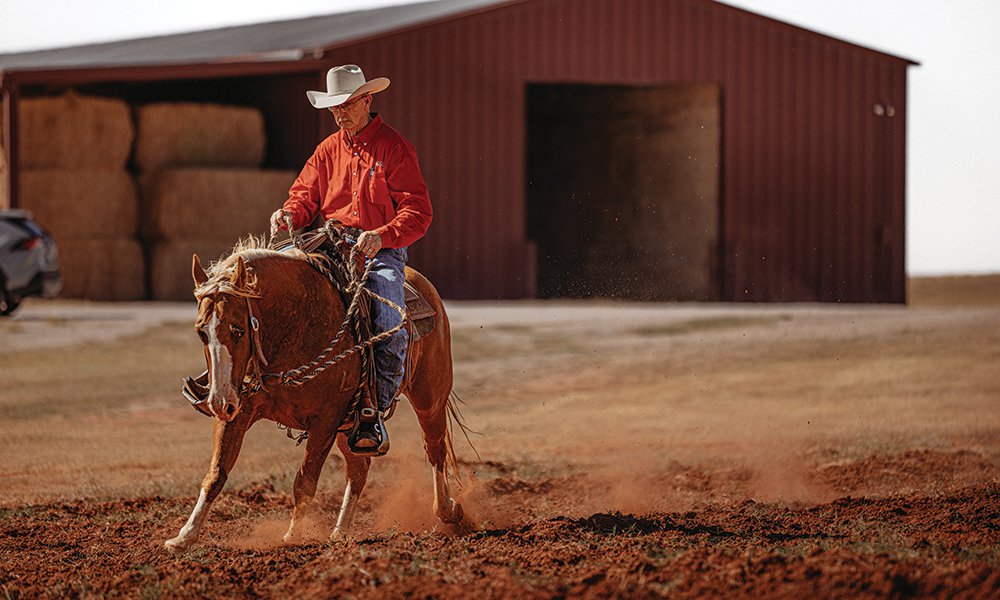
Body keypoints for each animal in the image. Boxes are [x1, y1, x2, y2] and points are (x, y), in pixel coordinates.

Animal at [166, 238, 466, 552]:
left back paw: (448, 510)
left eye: (238, 330)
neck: (293, 327)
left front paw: (292, 536)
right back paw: (340, 532)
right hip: (352, 426)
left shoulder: (325, 420)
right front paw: (184, 536)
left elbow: (305, 480)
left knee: (434, 449)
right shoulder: (240, 409)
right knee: (359, 468)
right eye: (201, 332)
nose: (218, 401)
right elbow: (216, 473)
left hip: (429, 398)